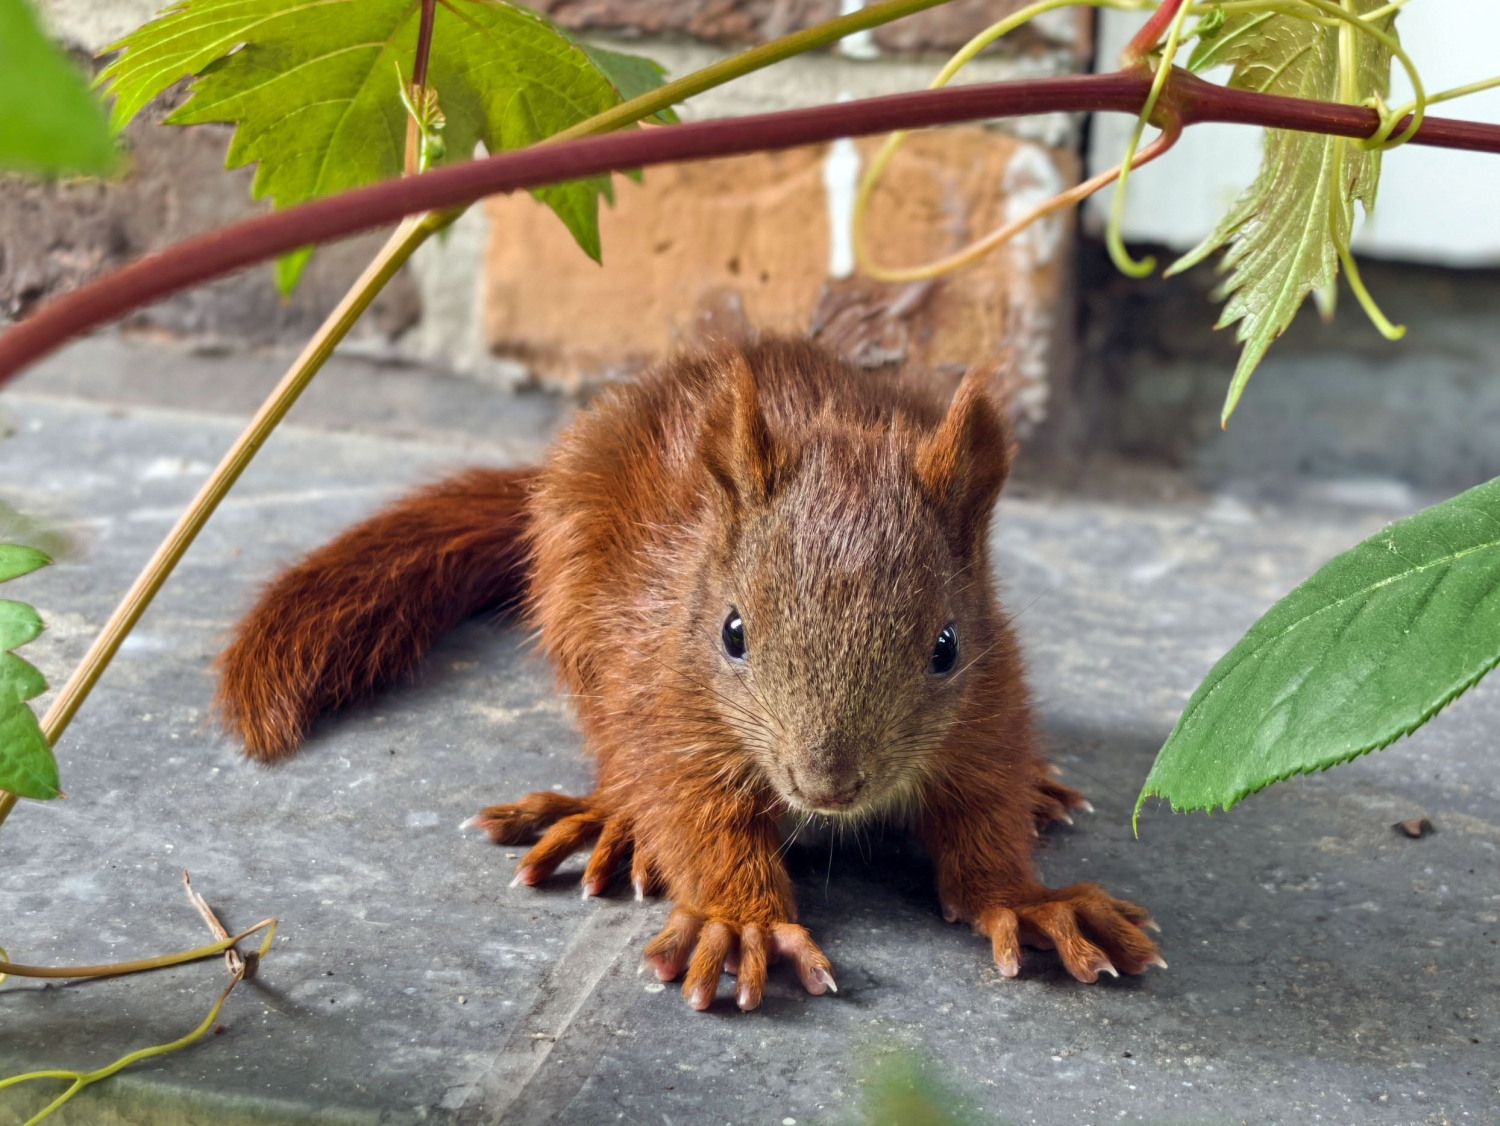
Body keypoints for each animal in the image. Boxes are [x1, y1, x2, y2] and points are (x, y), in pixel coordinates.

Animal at [216, 336, 1164, 1010]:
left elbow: (985, 818)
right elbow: (692, 807)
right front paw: (742, 922)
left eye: (947, 646)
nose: (827, 784)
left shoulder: (988, 715)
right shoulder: (664, 693)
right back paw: (612, 819)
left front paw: (1028, 900)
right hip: (571, 592)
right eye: (732, 634)